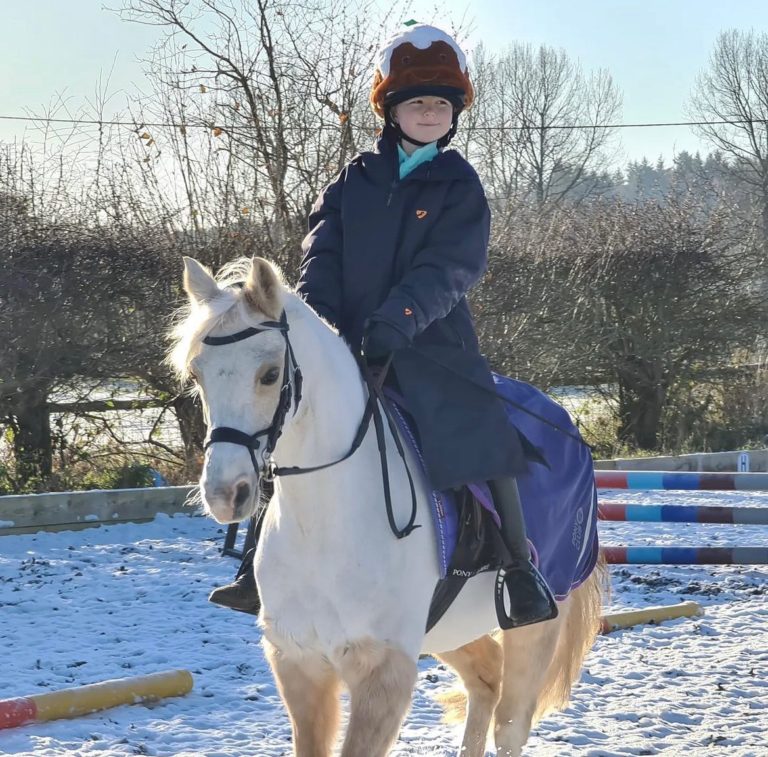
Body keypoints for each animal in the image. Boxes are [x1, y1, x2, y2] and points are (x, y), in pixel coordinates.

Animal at [170, 255, 605, 757]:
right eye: (197, 374)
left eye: (269, 374)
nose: (225, 494)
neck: (325, 524)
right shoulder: (298, 662)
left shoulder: (382, 669)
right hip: (447, 629)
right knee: (486, 680)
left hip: (534, 626)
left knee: (512, 722)